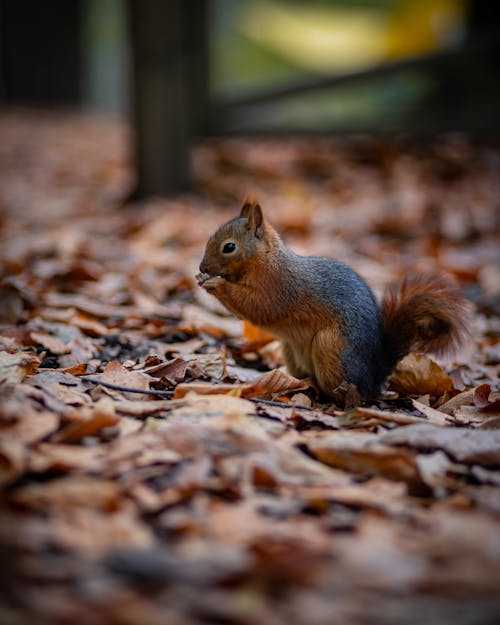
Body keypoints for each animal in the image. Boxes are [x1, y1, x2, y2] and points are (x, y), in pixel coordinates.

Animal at [196, 196, 472, 400]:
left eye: (229, 247)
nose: (203, 267)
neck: (266, 259)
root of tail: (377, 369)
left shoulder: (279, 287)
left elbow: (260, 307)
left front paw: (217, 283)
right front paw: (202, 279)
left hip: (331, 347)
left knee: (355, 393)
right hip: (291, 350)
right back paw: (297, 383)